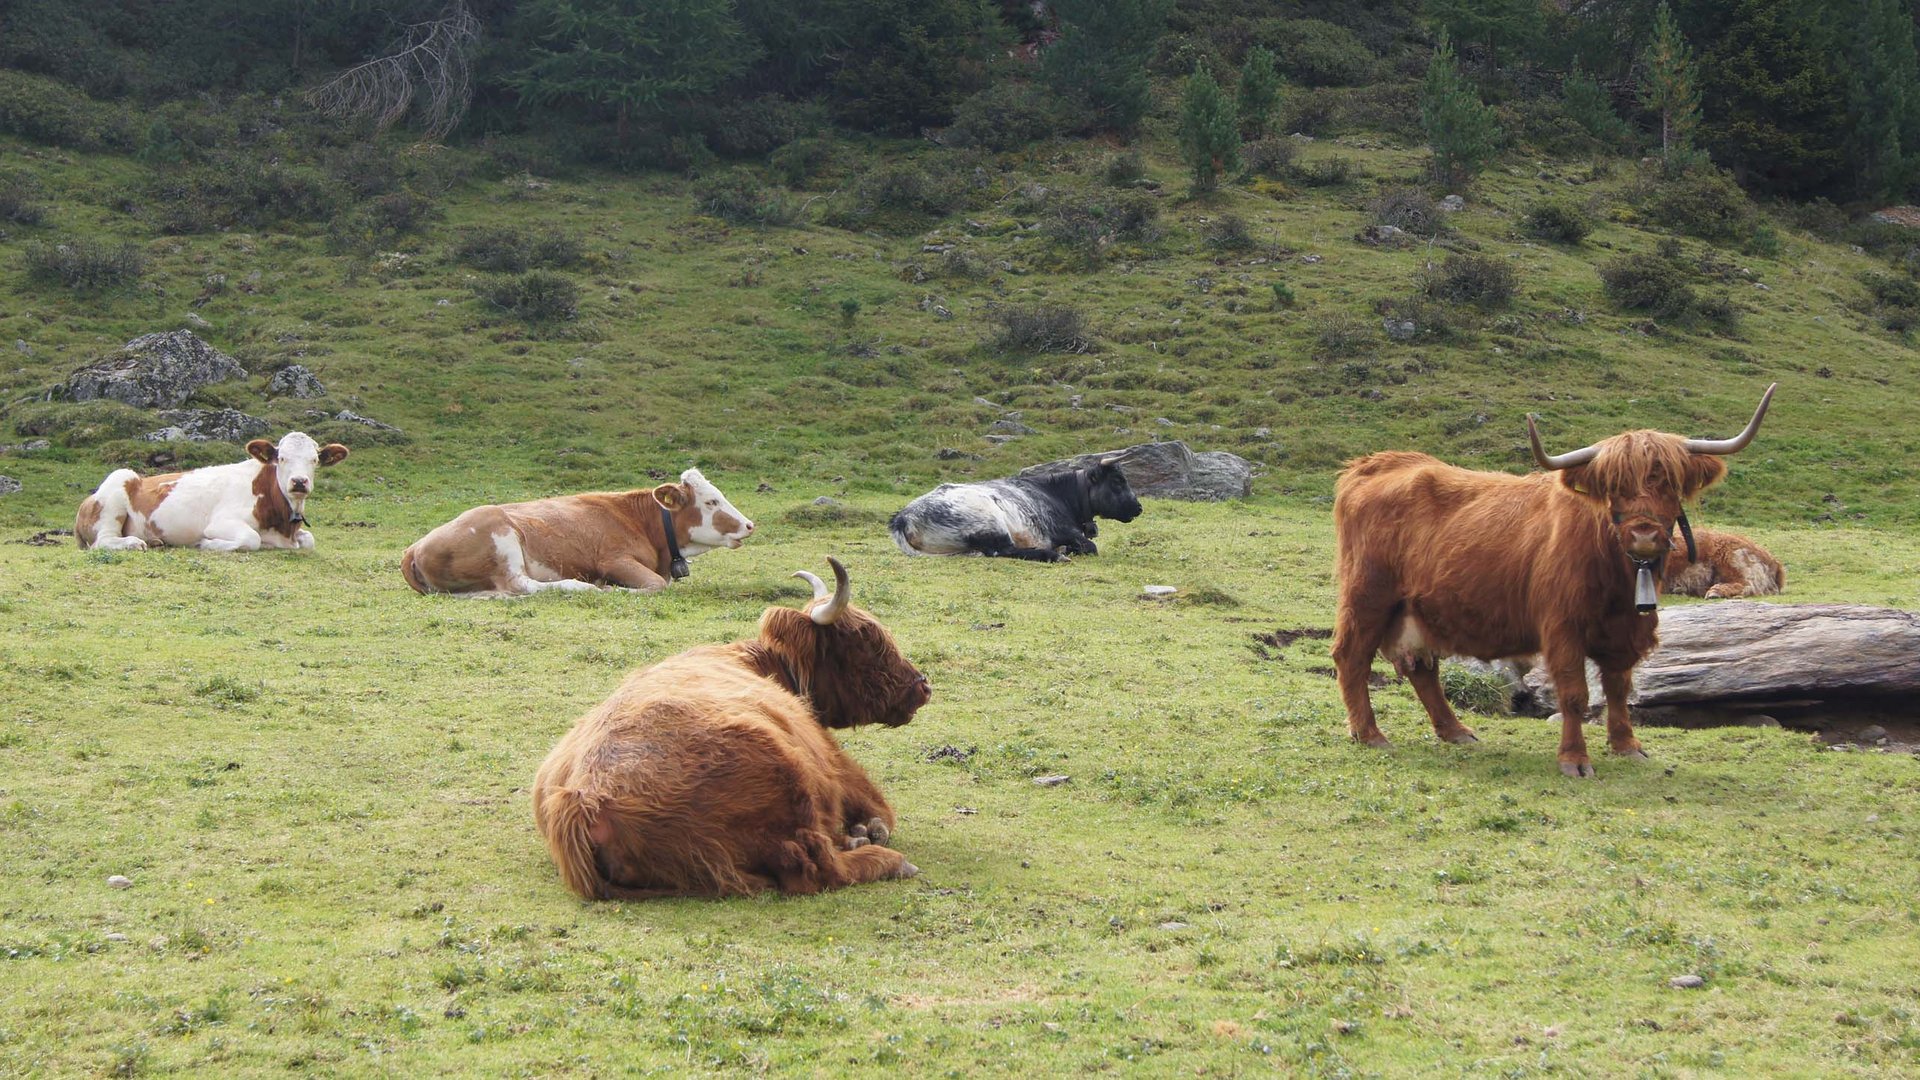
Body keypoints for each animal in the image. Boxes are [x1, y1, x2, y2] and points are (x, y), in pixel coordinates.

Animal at [76, 428, 351, 549]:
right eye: (281, 458)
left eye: (314, 460)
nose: (299, 482)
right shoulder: (221, 522)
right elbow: (251, 539)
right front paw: (206, 544)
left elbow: (310, 540)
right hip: (117, 486)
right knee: (102, 541)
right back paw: (133, 543)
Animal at [401, 465, 752, 595]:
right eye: (711, 501)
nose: (749, 525)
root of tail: (414, 546)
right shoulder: (614, 559)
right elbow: (653, 585)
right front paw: (613, 588)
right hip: (502, 537)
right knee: (520, 585)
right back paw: (581, 585)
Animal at [537, 549, 933, 895]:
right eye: (865, 640)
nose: (922, 686)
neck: (763, 663)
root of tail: (584, 799)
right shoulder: (837, 763)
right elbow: (880, 811)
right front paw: (869, 828)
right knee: (817, 867)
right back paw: (887, 859)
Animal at [887, 457, 1136, 557]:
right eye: (1117, 481)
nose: (1138, 507)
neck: (1056, 495)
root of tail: (903, 516)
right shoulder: (1065, 531)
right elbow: (1091, 547)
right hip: (992, 523)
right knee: (1004, 551)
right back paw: (1053, 555)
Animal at [1336, 384, 1766, 772]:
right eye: (1614, 486)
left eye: (1669, 482)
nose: (1643, 535)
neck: (1616, 575)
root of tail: (1375, 463)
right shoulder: (1563, 627)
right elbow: (1574, 693)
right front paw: (1574, 760)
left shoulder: (1626, 629)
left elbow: (1618, 687)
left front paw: (1627, 746)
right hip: (1369, 596)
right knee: (1351, 656)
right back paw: (1370, 734)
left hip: (1416, 608)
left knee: (1423, 670)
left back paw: (1456, 731)